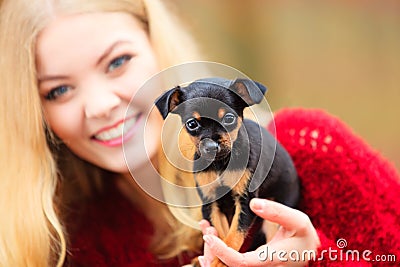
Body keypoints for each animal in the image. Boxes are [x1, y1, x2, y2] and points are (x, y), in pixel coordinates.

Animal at [155, 78, 298, 267]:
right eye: (192, 124)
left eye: (229, 119)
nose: (211, 147)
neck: (220, 164)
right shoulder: (211, 203)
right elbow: (221, 235)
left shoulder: (246, 201)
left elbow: (233, 236)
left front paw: (221, 261)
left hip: (274, 215)